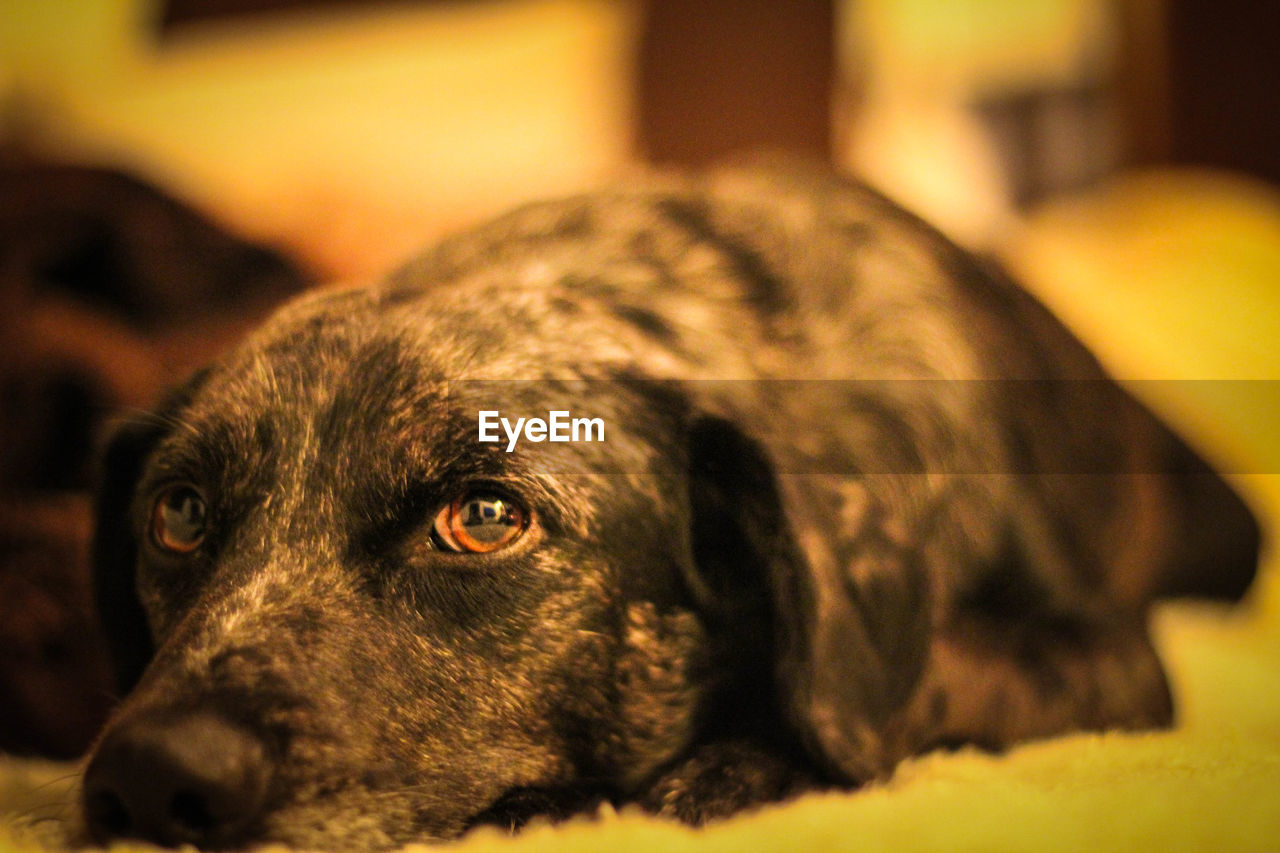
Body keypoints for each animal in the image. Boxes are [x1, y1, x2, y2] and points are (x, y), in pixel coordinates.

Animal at [80, 162, 1259, 845]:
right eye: (178, 513)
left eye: (485, 518)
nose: (153, 779)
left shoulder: (1106, 655)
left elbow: (907, 683)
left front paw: (730, 766)